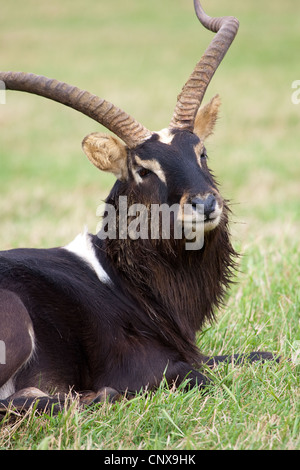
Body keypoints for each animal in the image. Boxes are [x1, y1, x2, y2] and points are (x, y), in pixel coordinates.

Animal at [0, 0, 276, 412]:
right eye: (143, 169)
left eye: (201, 151)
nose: (205, 204)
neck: (115, 275)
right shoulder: (145, 366)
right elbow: (197, 375)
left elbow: (263, 355)